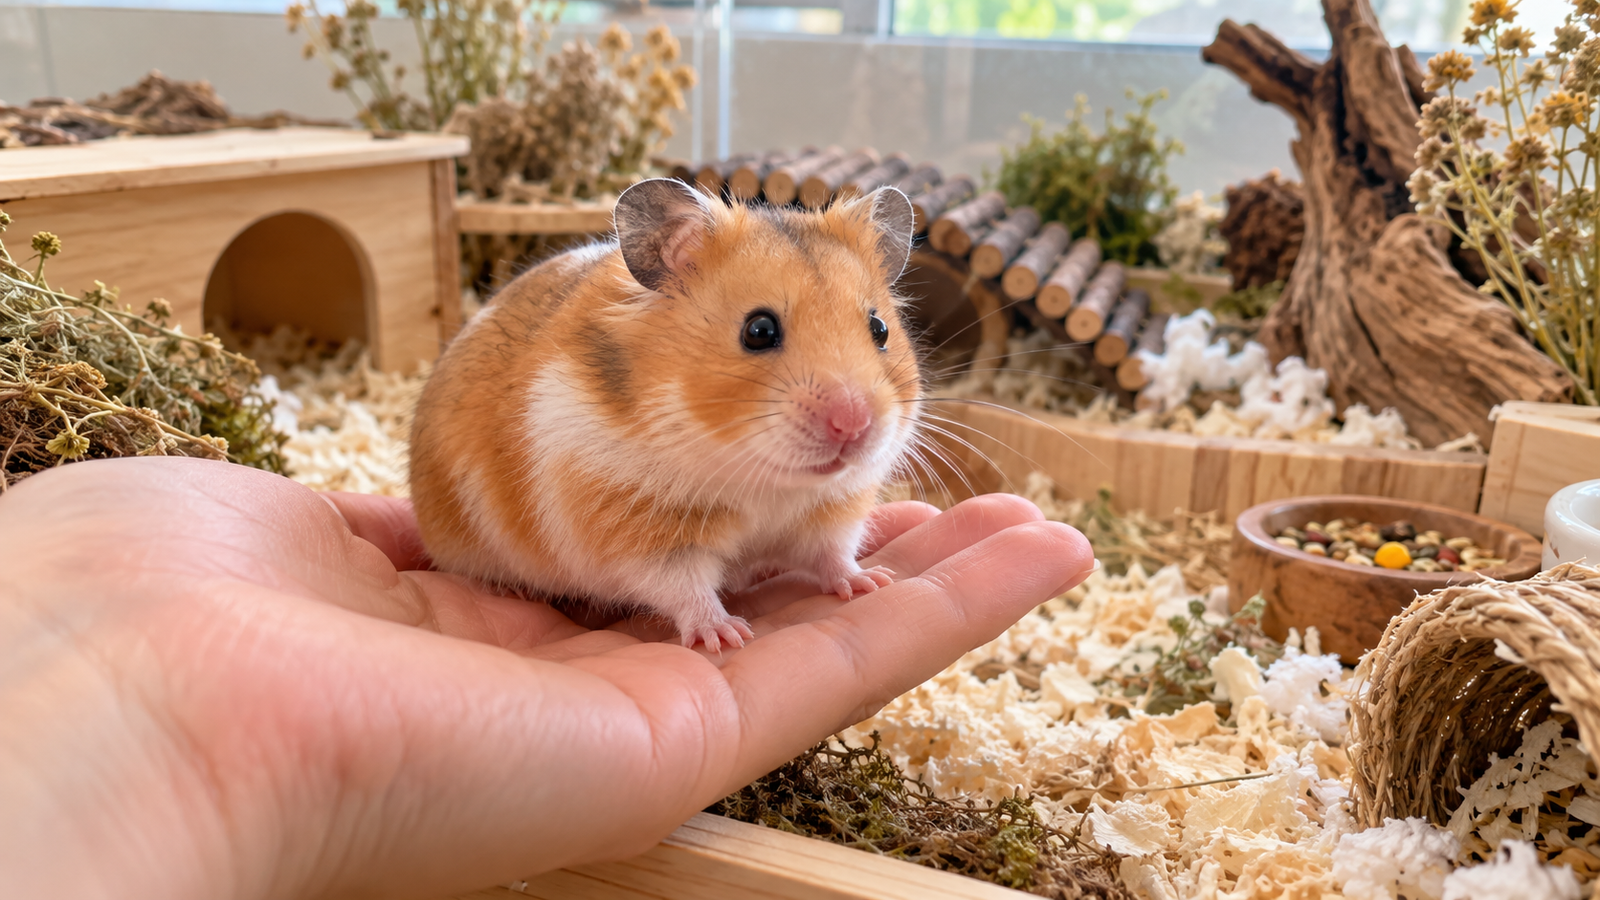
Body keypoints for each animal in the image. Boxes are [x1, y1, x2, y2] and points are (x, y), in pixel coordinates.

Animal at [408, 178, 923, 651]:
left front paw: (873, 582)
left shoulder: (833, 510)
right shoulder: (638, 530)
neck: (764, 481)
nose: (854, 425)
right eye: (758, 330)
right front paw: (725, 636)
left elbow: (832, 554)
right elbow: (683, 587)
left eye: (879, 329)